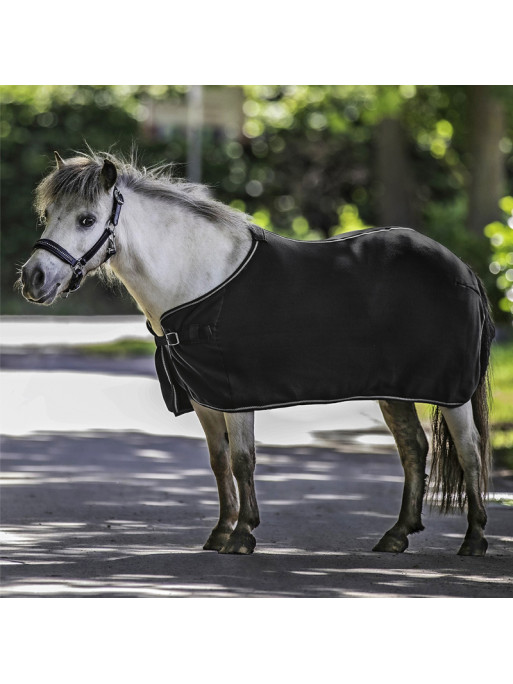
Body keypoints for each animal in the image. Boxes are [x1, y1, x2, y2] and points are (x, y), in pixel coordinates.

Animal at [19, 154, 492, 556]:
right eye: (48, 215)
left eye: (87, 219)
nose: (33, 278)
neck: (197, 278)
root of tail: (463, 269)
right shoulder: (204, 398)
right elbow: (219, 462)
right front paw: (220, 532)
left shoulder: (234, 394)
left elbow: (243, 460)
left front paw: (243, 534)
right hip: (395, 391)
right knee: (414, 448)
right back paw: (396, 536)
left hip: (451, 392)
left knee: (469, 450)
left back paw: (474, 540)